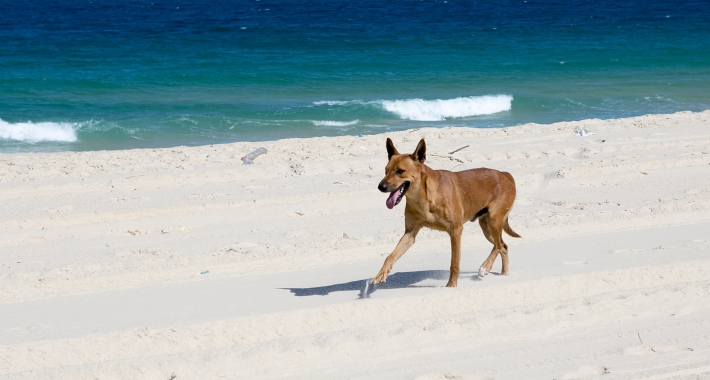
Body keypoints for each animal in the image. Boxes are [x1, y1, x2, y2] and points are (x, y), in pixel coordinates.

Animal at [376, 138, 520, 286]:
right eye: (386, 171)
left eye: (400, 171)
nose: (381, 187)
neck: (423, 198)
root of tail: (505, 174)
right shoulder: (410, 234)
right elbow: (390, 256)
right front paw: (381, 273)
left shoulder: (456, 231)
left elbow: (454, 264)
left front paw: (451, 286)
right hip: (486, 227)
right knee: (503, 246)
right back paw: (504, 273)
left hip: (494, 220)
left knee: (498, 245)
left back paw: (485, 267)